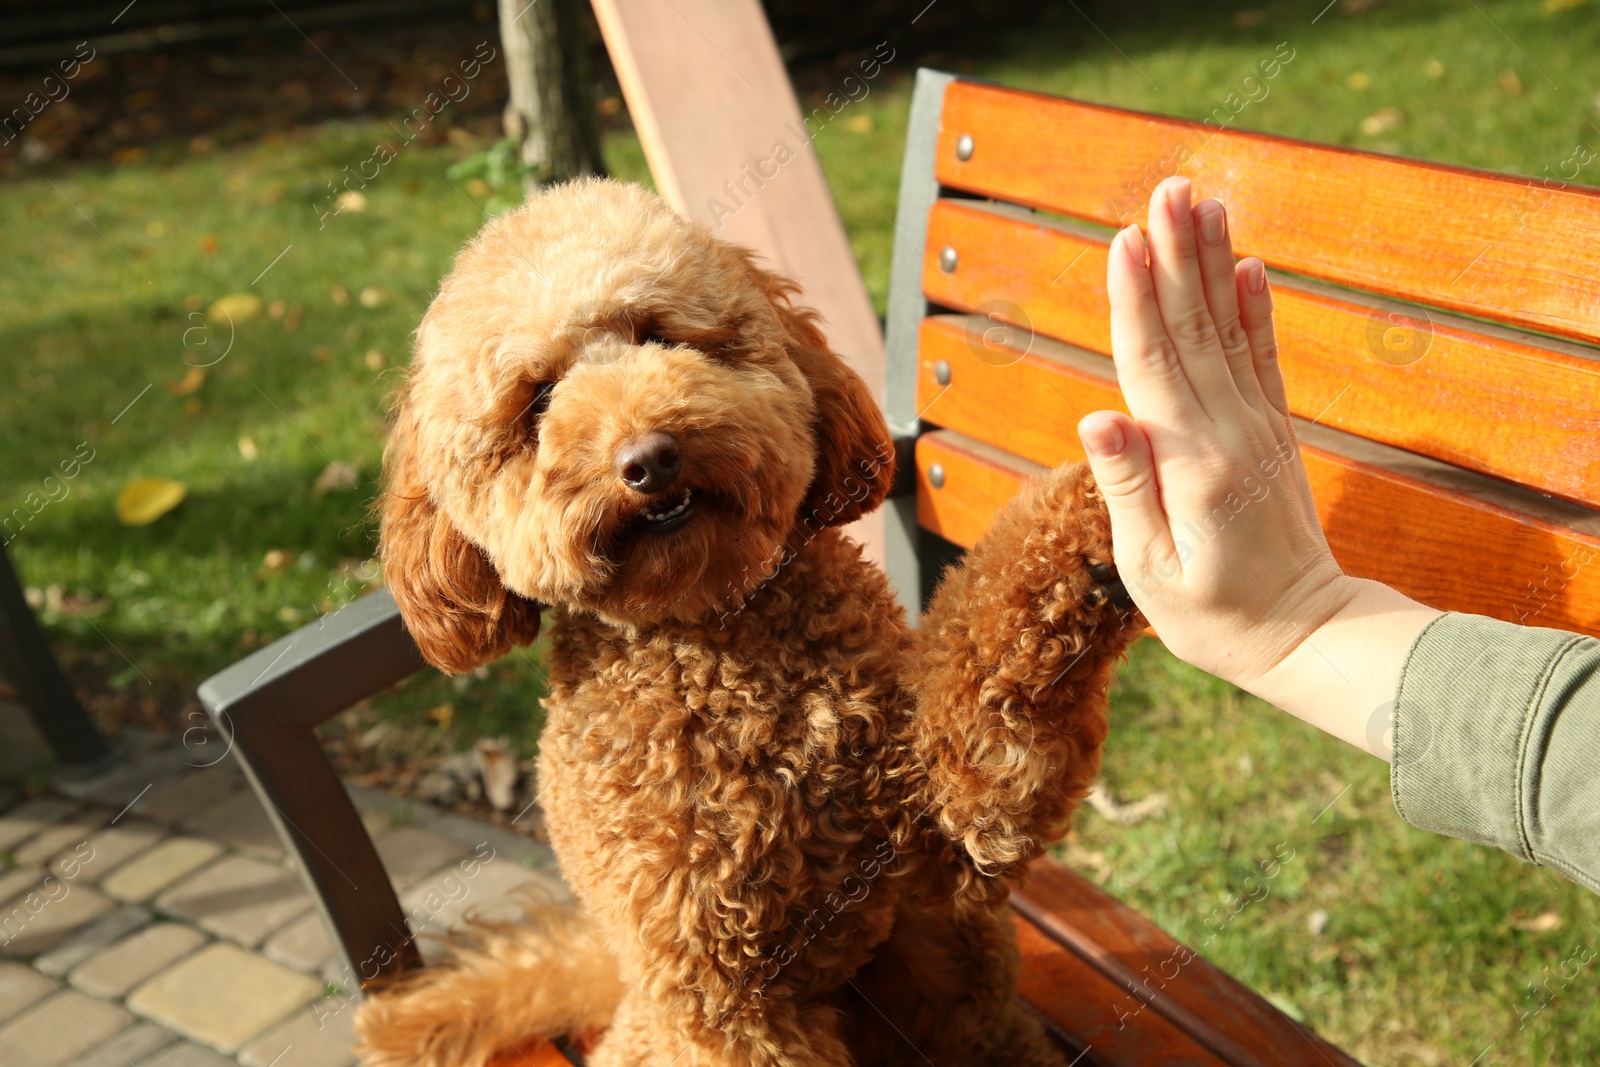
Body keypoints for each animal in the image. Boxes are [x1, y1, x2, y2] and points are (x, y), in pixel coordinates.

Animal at [358, 179, 1145, 1062]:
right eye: (538, 400)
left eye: (660, 333)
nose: (649, 457)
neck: (720, 640)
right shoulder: (723, 997)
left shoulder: (951, 823)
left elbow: (986, 680)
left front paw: (1097, 517)